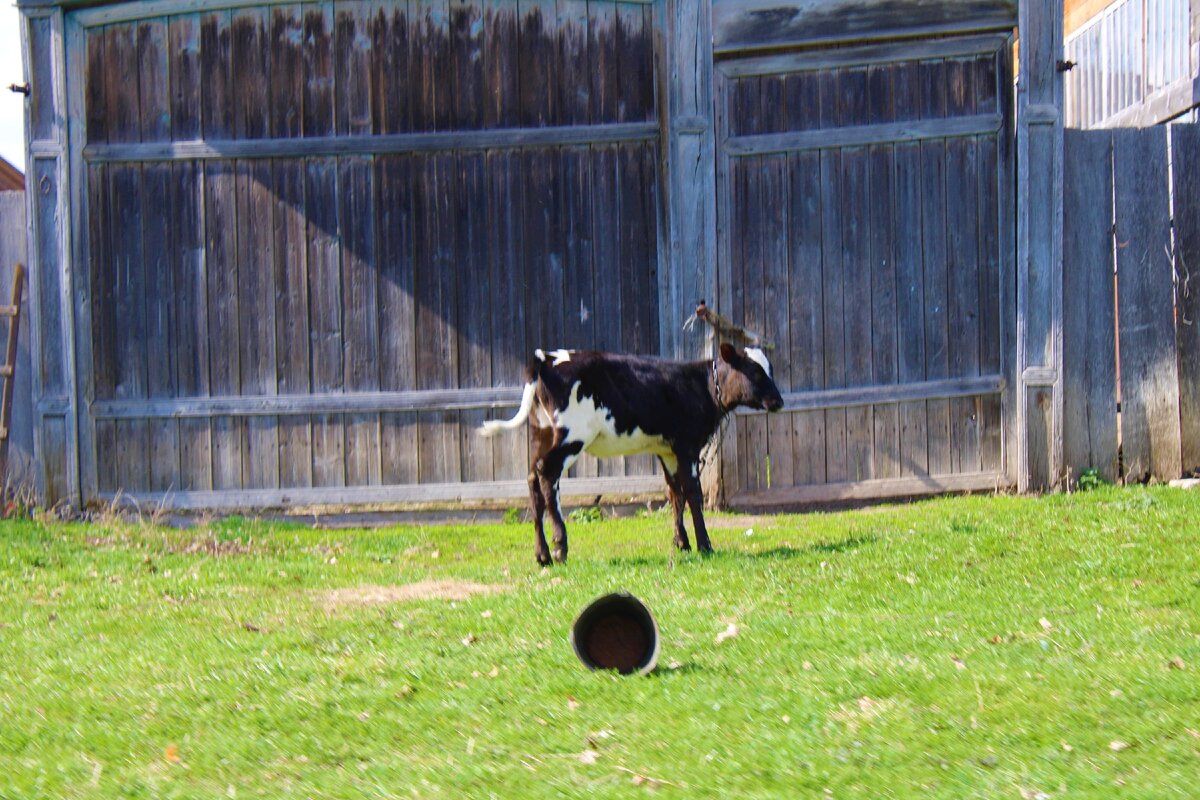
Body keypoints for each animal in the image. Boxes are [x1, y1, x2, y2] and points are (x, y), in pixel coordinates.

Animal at [477, 345, 787, 563]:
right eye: (755, 372)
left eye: (771, 370)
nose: (779, 401)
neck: (700, 385)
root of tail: (546, 357)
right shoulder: (687, 446)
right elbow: (693, 494)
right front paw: (704, 545)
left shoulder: (666, 450)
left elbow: (674, 494)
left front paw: (682, 543)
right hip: (571, 435)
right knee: (546, 475)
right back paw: (559, 546)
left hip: (542, 432)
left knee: (532, 479)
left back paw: (541, 554)